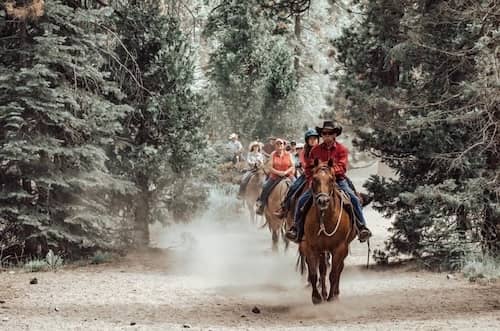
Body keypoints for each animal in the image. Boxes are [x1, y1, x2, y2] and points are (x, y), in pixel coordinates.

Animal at [296, 160, 356, 304]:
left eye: (331, 179)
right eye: (314, 179)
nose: (322, 201)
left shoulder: (339, 248)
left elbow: (334, 273)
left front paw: (332, 297)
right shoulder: (310, 247)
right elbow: (314, 273)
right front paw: (316, 297)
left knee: (339, 269)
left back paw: (335, 293)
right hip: (322, 249)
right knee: (322, 270)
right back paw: (323, 293)